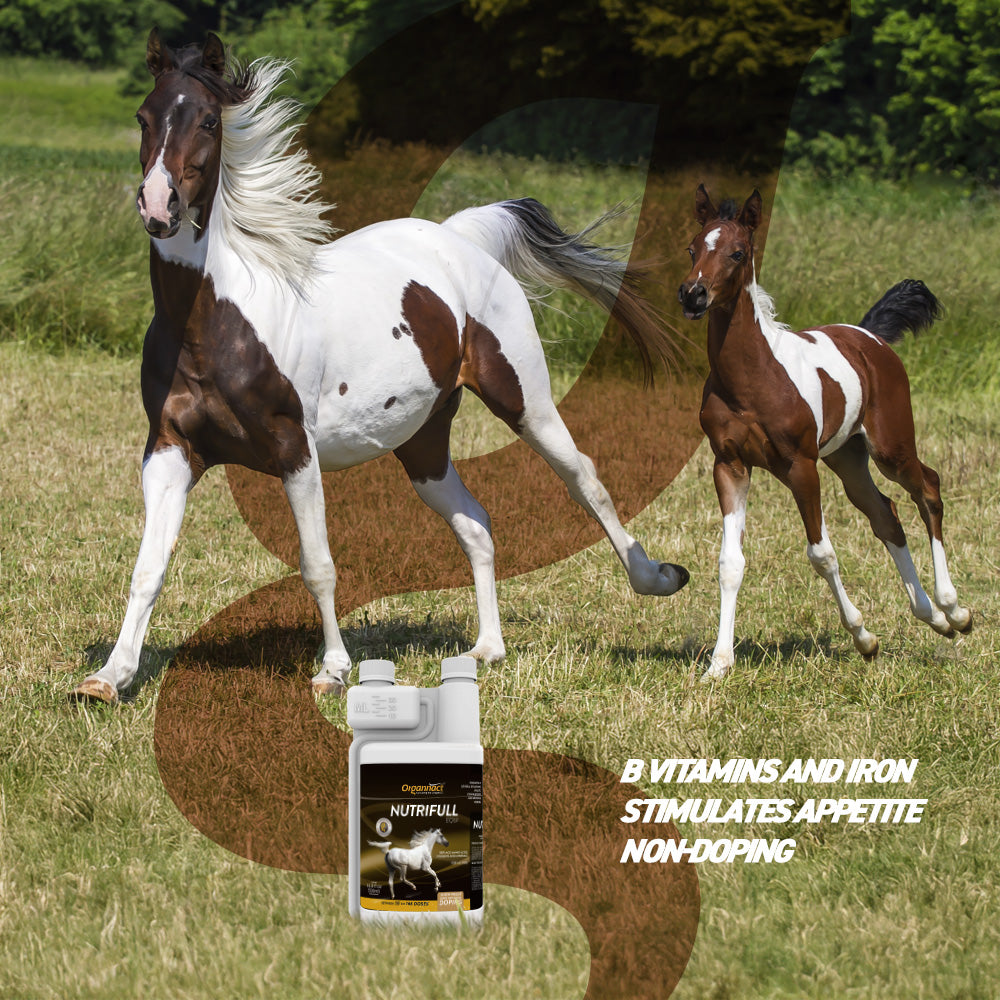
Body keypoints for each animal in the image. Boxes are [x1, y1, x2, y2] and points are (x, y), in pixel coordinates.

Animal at [69, 30, 687, 703]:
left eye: (208, 119)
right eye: (144, 117)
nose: (160, 207)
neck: (214, 323)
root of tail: (457, 237)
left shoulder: (294, 450)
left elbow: (317, 565)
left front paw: (333, 671)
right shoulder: (170, 448)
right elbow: (148, 568)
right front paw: (108, 678)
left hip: (526, 401)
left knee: (584, 479)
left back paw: (657, 578)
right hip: (423, 444)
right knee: (476, 523)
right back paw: (486, 649)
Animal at [678, 185, 971, 681]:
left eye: (738, 252)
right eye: (693, 248)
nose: (693, 294)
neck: (752, 378)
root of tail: (871, 338)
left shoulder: (801, 466)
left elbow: (821, 553)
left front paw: (863, 637)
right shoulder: (730, 465)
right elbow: (730, 562)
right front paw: (719, 664)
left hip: (890, 447)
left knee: (927, 488)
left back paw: (954, 610)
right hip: (848, 458)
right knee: (885, 514)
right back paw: (931, 615)